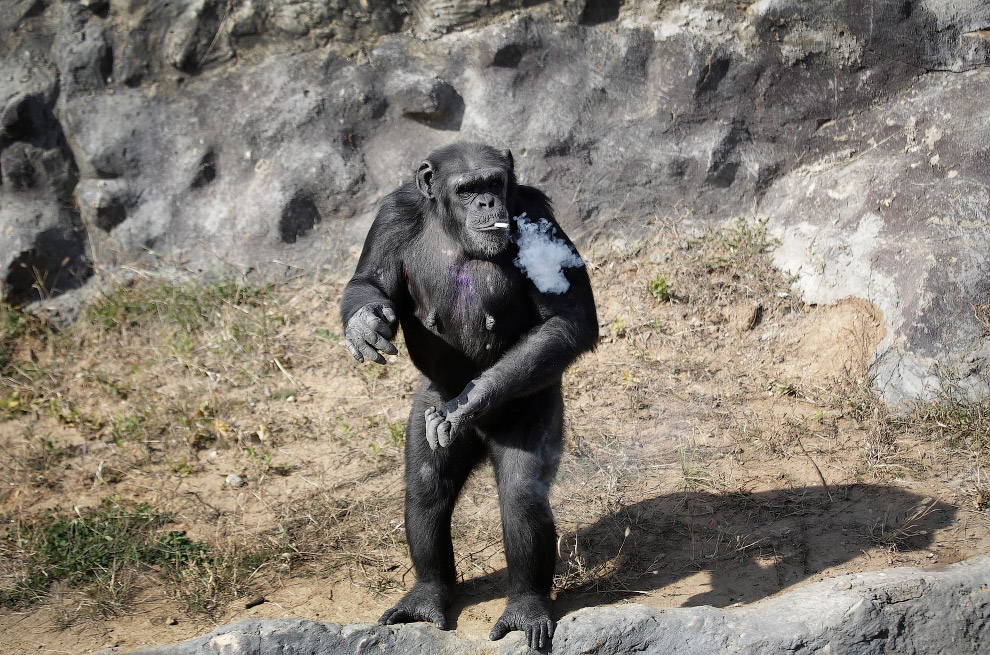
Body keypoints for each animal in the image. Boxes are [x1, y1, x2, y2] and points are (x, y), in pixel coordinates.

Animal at [340, 141, 600, 648]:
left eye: (493, 183)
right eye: (466, 189)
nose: (486, 203)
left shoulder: (537, 214)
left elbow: (570, 318)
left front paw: (472, 400)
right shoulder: (391, 216)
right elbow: (370, 281)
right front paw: (365, 324)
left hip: (534, 406)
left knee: (522, 497)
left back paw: (526, 608)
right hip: (429, 403)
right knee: (426, 489)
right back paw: (426, 596)